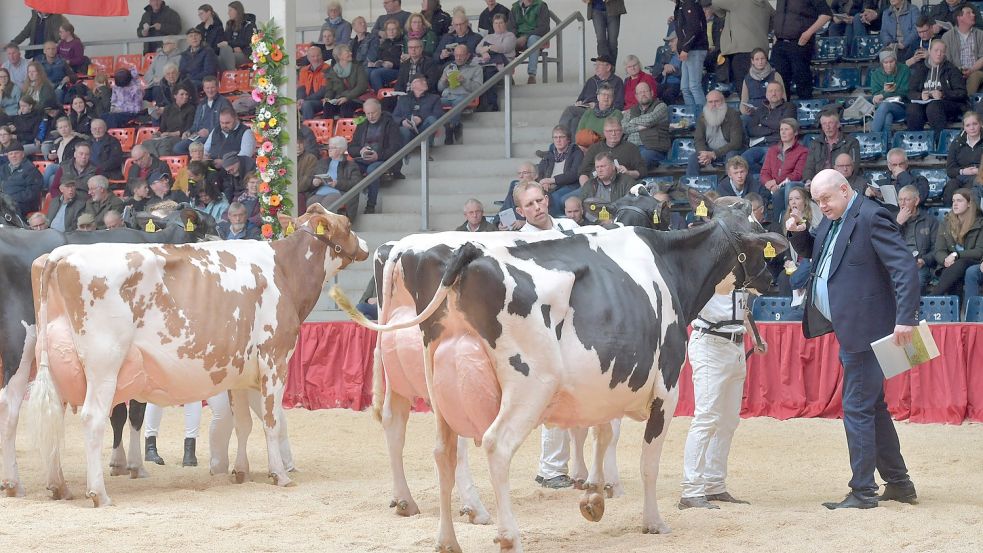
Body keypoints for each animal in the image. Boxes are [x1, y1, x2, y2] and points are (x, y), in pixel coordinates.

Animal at [0, 209, 215, 498]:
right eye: (212, 225)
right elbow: (132, 413)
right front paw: (133, 464)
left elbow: (116, 412)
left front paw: (118, 462)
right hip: (20, 347)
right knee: (10, 407)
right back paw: (14, 483)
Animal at [26, 204, 368, 504]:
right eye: (348, 224)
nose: (365, 245)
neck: (284, 270)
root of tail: (61, 254)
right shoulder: (274, 359)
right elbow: (272, 420)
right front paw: (280, 475)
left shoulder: (241, 371)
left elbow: (243, 423)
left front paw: (241, 472)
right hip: (104, 365)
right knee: (93, 419)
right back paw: (99, 493)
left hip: (55, 363)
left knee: (54, 416)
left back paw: (58, 487)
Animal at [338, 197, 792, 552]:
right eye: (759, 236)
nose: (773, 278)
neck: (669, 268)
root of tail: (466, 250)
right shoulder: (666, 388)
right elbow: (646, 458)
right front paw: (651, 519)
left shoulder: (604, 381)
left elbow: (601, 432)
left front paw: (594, 495)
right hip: (528, 385)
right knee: (494, 445)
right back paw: (506, 533)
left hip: (439, 385)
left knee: (435, 447)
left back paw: (442, 534)